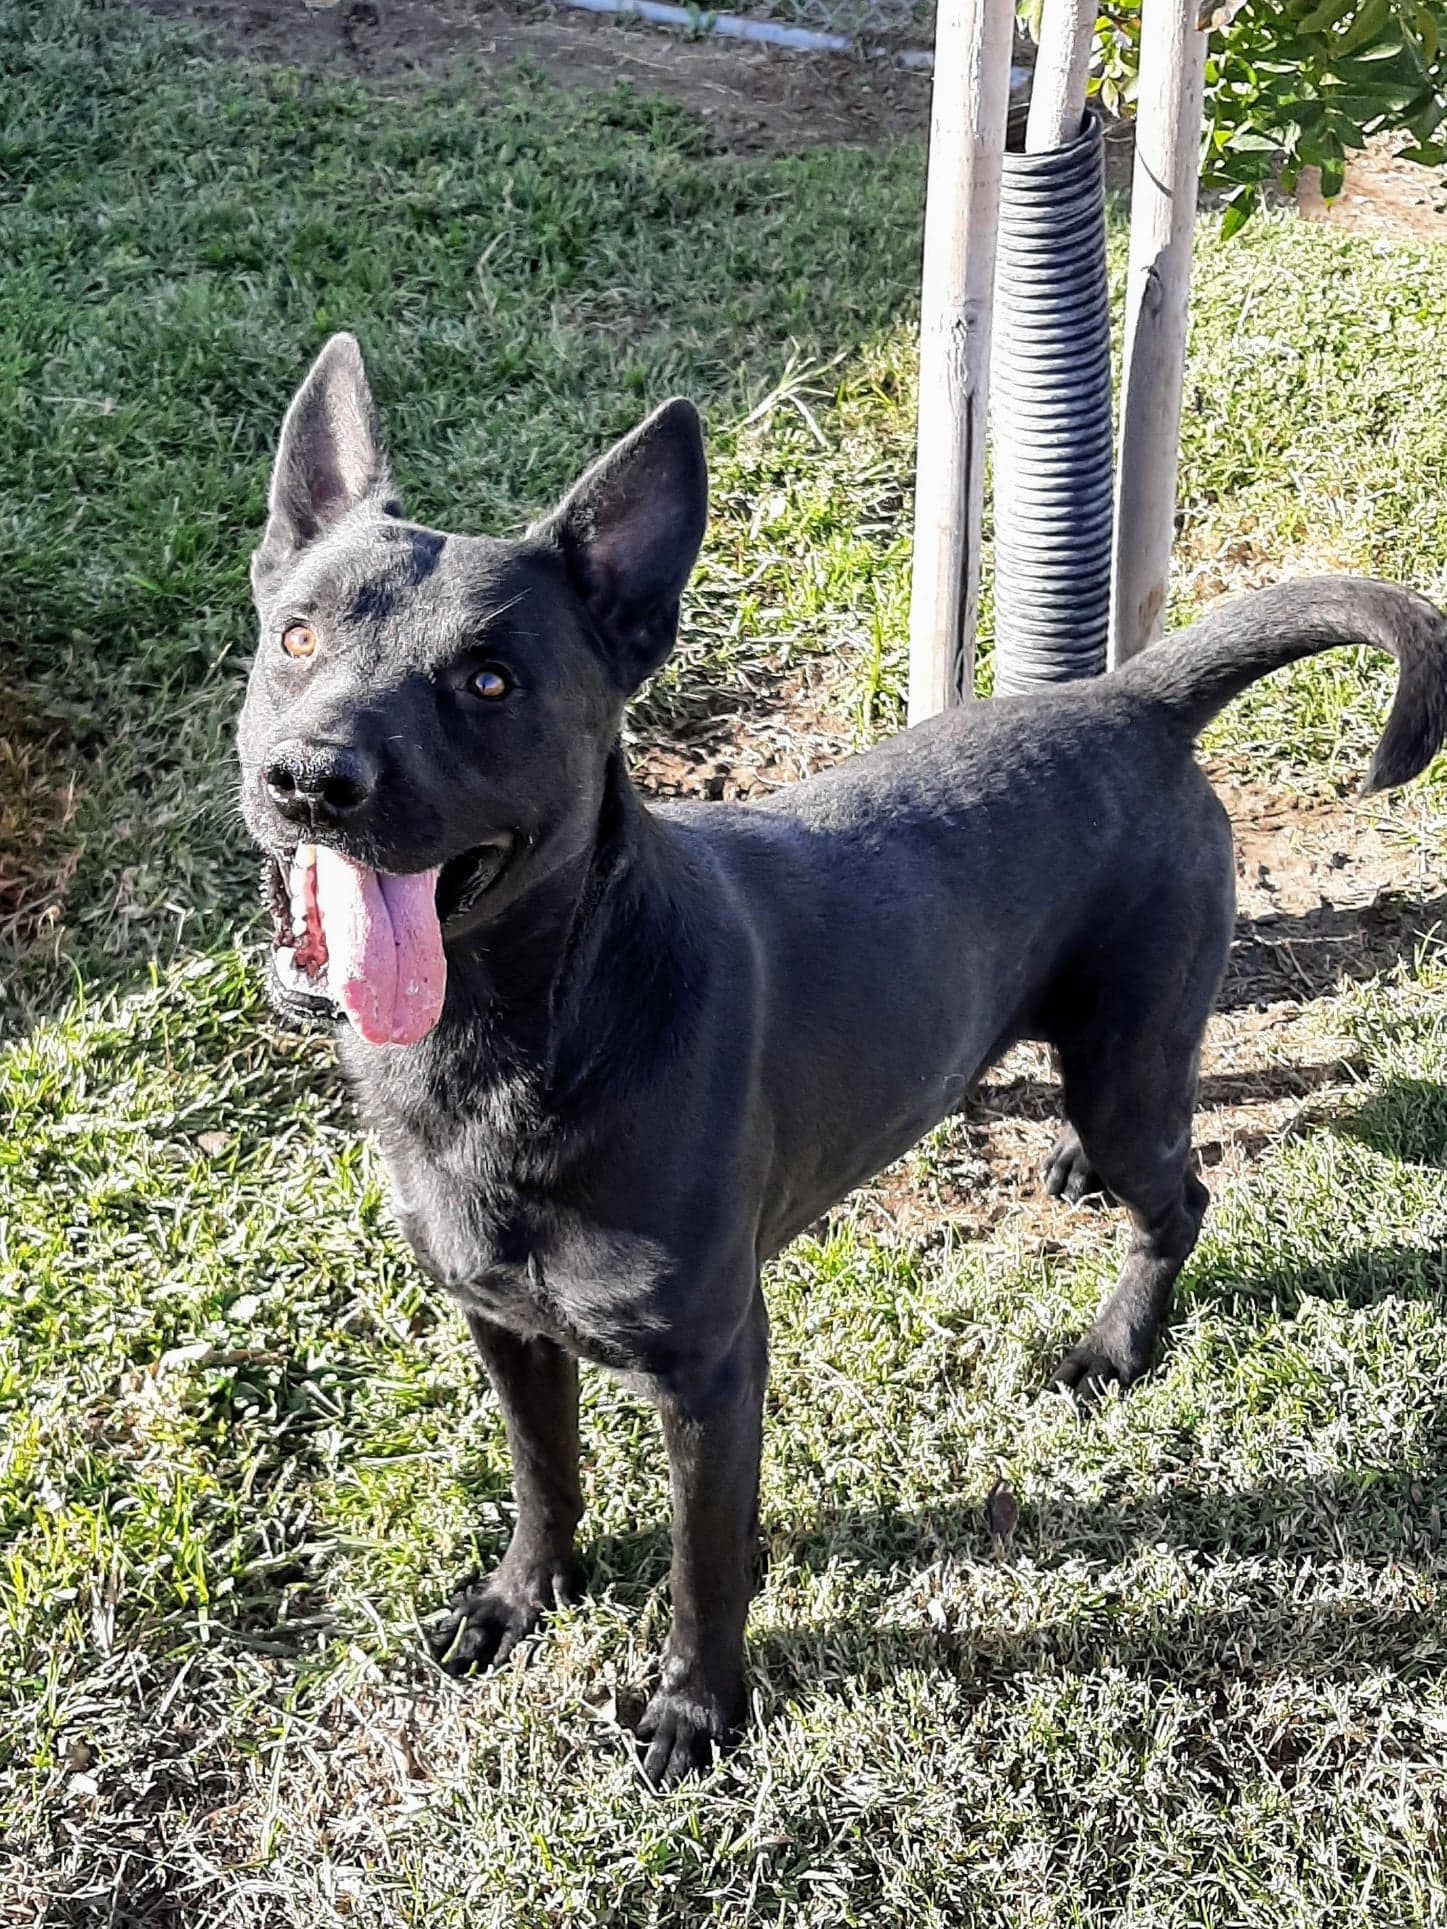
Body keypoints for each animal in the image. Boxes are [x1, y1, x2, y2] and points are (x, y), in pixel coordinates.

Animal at [238, 339, 1447, 1782]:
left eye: (488, 682)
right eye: (296, 637)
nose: (310, 778)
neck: (523, 1039)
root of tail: (1128, 696)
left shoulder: (713, 1366)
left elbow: (706, 1564)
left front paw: (695, 1711)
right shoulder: (501, 1321)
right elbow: (543, 1476)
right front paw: (521, 1599)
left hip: (1132, 1052)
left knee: (1182, 1192)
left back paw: (1114, 1343)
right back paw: (1067, 1172)